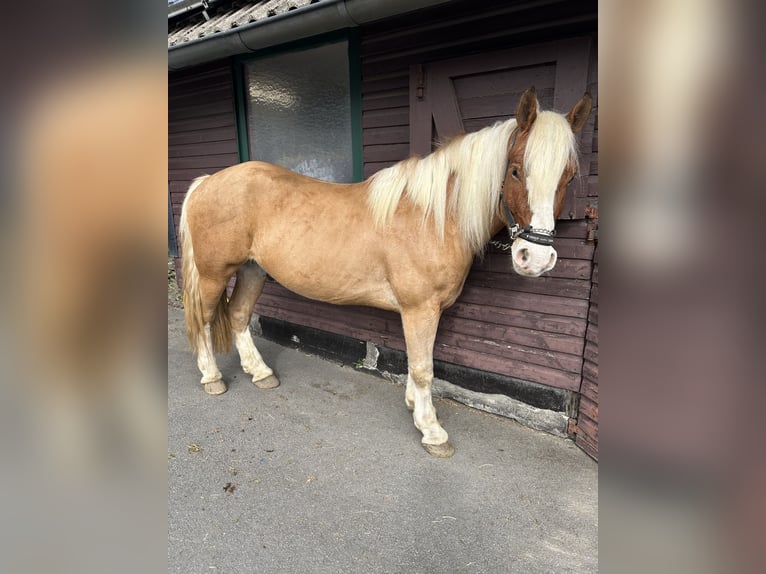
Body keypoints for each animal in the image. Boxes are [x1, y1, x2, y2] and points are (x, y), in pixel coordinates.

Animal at [179, 86, 592, 457]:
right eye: (516, 171)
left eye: (570, 177)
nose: (534, 258)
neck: (434, 218)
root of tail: (207, 182)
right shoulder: (419, 308)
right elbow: (424, 368)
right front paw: (432, 430)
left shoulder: (422, 311)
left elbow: (416, 360)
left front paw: (414, 406)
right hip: (215, 274)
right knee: (204, 321)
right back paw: (212, 378)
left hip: (253, 270)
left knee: (238, 316)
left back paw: (261, 373)